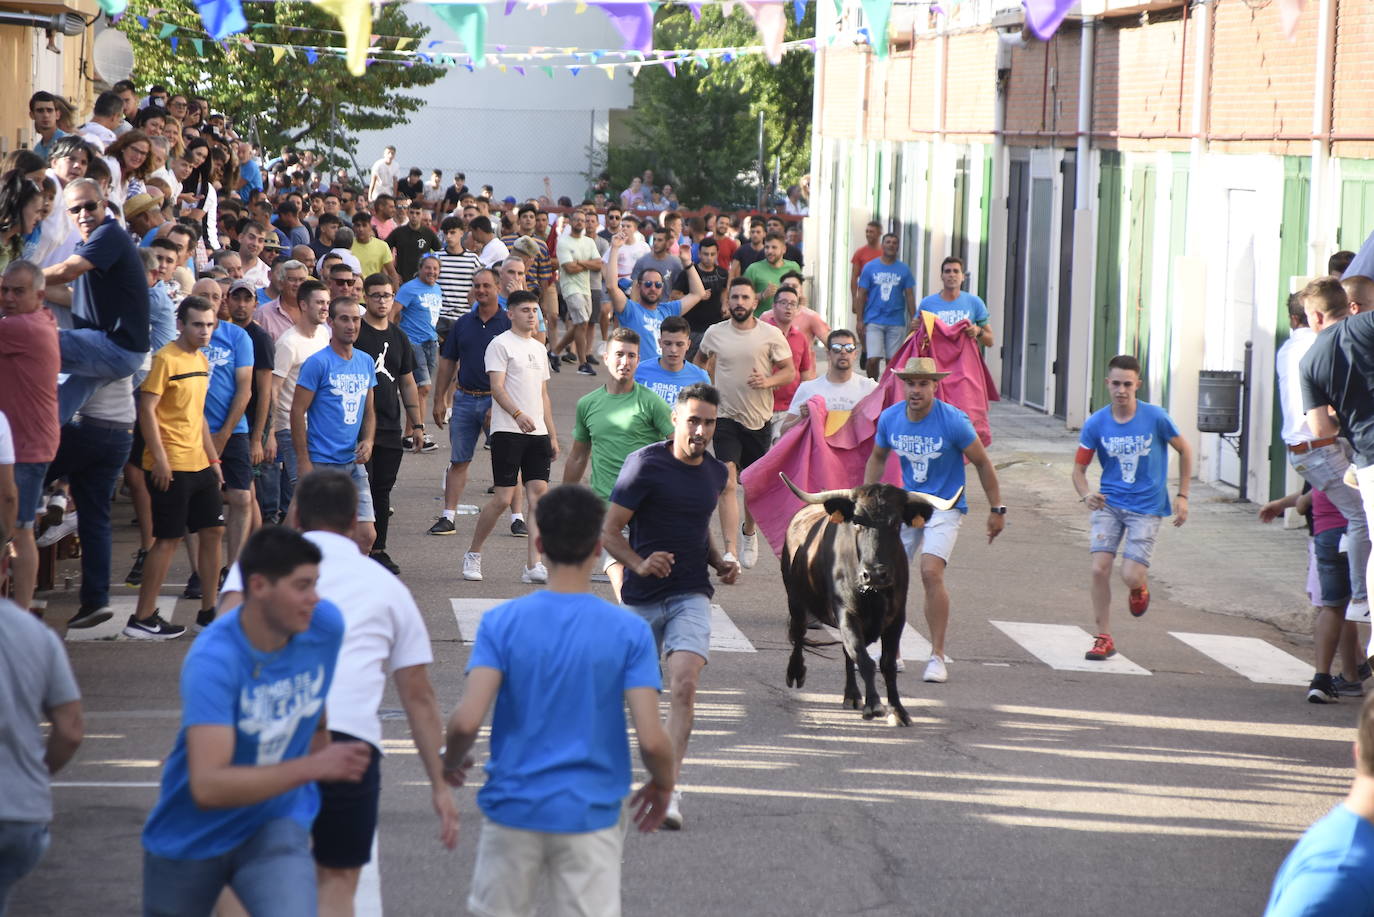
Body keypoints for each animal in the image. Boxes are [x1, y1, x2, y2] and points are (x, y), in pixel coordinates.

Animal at [780, 472, 961, 725]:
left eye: (895, 523)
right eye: (857, 522)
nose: (874, 573)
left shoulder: (896, 618)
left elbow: (886, 664)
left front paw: (898, 710)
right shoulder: (846, 612)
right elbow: (864, 659)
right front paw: (874, 704)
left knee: (846, 653)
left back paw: (852, 695)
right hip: (795, 599)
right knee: (798, 634)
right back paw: (796, 673)